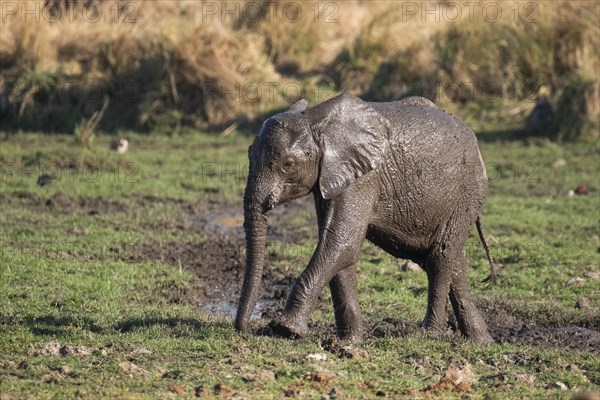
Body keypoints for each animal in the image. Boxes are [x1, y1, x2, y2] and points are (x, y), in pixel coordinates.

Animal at [237, 91, 494, 344]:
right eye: (248, 153)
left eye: (288, 164)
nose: (242, 329)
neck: (316, 120)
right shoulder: (334, 177)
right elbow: (338, 249)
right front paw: (348, 341)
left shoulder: (364, 178)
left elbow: (341, 243)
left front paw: (285, 329)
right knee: (453, 261)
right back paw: (480, 340)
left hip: (467, 191)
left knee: (441, 255)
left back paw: (430, 333)